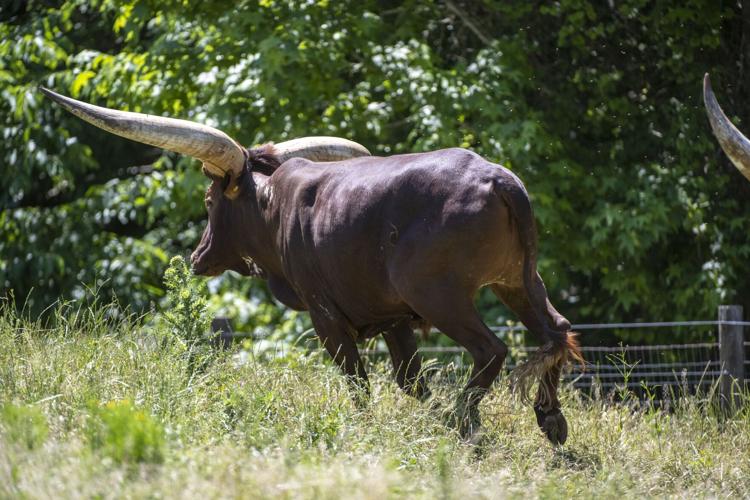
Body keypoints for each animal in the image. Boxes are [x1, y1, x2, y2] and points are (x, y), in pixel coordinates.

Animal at [42, 87, 582, 445]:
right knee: (555, 330)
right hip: (518, 281)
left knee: (492, 349)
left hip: (440, 295)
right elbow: (410, 381)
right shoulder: (392, 316)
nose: (197, 257)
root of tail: (496, 179)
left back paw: (464, 424)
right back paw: (551, 421)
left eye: (209, 200)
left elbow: (359, 382)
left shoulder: (328, 318)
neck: (274, 205)